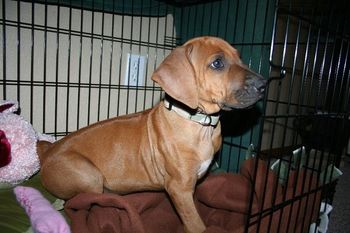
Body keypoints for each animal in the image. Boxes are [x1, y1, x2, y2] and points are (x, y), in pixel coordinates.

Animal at [37, 36, 266, 233]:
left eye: (239, 57)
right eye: (217, 63)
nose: (264, 85)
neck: (199, 124)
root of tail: (47, 152)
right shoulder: (178, 188)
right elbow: (195, 223)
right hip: (89, 175)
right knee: (77, 200)